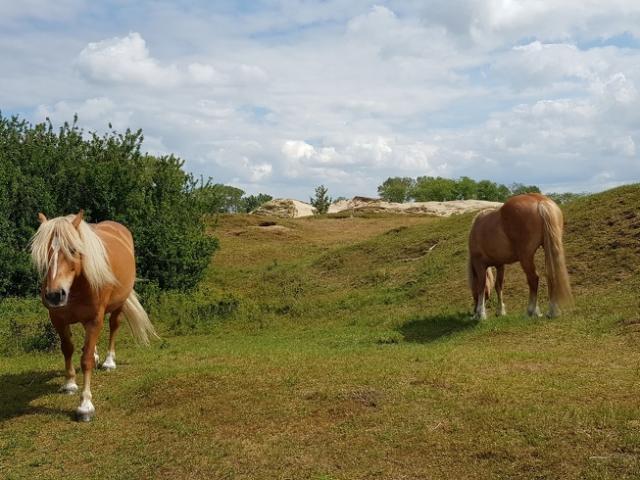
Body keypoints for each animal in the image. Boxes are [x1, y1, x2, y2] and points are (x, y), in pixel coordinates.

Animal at [30, 210, 158, 420]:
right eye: (43, 253)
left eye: (73, 249)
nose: (54, 295)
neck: (77, 285)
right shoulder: (58, 319)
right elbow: (68, 349)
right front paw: (70, 384)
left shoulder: (95, 319)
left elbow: (86, 360)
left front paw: (85, 406)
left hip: (118, 305)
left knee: (114, 327)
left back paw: (108, 362)